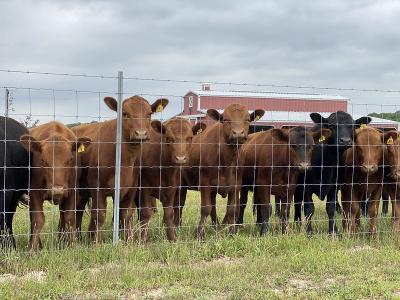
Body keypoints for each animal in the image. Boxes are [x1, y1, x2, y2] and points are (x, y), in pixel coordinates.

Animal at [19, 120, 91, 250]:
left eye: (70, 159)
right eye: (43, 160)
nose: (57, 190)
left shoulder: (72, 190)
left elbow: (69, 217)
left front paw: (72, 245)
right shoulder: (34, 192)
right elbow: (38, 219)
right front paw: (33, 248)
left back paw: (61, 240)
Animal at [73, 95, 167, 243]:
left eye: (149, 114)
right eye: (125, 114)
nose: (141, 133)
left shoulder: (131, 187)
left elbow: (126, 214)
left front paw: (129, 241)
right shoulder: (96, 184)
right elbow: (100, 214)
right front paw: (97, 242)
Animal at [173, 104, 264, 238]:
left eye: (247, 119)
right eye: (225, 119)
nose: (238, 133)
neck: (226, 161)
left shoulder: (236, 184)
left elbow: (232, 209)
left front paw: (231, 233)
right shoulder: (205, 183)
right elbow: (206, 208)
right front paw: (199, 234)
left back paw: (215, 226)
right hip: (181, 184)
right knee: (179, 203)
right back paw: (177, 225)